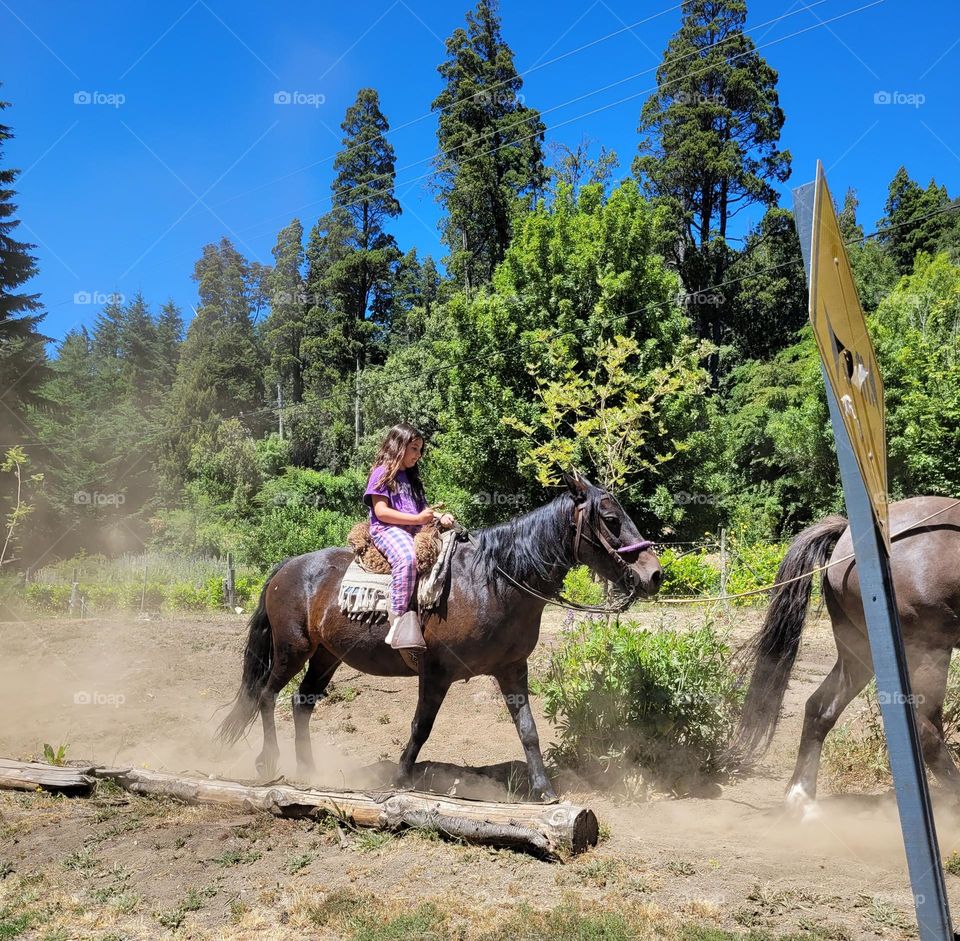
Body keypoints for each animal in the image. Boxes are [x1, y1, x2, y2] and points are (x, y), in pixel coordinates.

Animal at [220, 474, 664, 796]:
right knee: (266, 696)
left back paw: (309, 769)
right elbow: (421, 726)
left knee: (302, 702)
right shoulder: (435, 672)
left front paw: (543, 789)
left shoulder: (512, 669)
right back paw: (268, 762)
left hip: (328, 655)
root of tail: (287, 567)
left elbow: (528, 730)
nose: (654, 574)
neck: (491, 581)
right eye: (611, 520)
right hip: (292, 649)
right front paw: (401, 778)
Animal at [728, 496, 960, 820]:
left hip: (860, 653)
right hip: (928, 650)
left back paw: (802, 800)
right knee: (926, 728)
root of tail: (847, 534)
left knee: (821, 707)